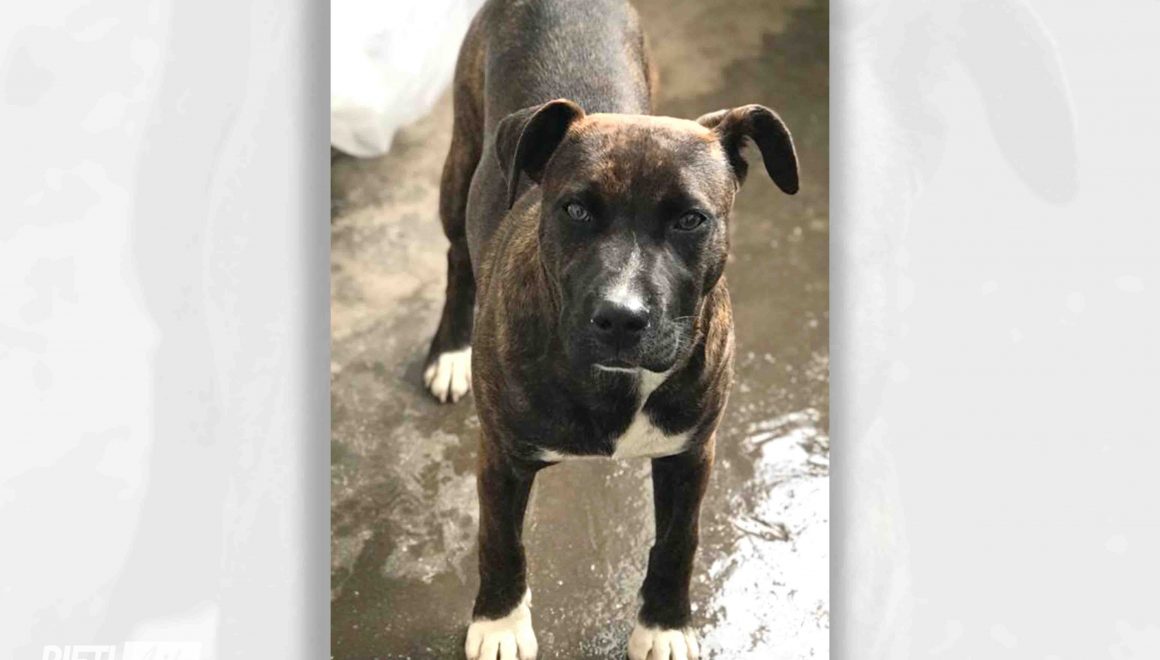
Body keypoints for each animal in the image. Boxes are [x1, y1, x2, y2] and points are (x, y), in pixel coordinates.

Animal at [421, 0, 798, 657]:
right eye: (574, 209)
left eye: (691, 220)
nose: (621, 317)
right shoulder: (501, 455)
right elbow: (501, 541)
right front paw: (499, 623)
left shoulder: (691, 453)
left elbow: (677, 542)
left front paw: (664, 624)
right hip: (460, 162)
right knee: (456, 257)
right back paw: (448, 351)